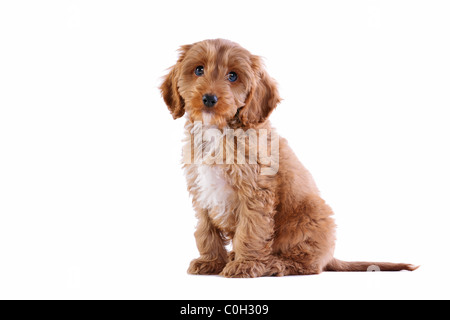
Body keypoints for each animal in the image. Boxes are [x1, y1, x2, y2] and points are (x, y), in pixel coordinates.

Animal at [159, 38, 418, 276]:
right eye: (198, 70)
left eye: (232, 76)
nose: (209, 99)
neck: (217, 130)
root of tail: (329, 256)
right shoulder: (201, 188)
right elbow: (205, 230)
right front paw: (211, 261)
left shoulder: (255, 193)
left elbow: (250, 231)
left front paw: (245, 265)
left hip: (307, 223)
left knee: (306, 264)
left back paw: (272, 264)